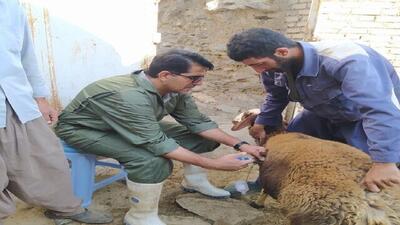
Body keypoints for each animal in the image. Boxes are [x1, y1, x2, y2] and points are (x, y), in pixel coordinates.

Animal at [230, 109, 400, 225]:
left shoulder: (267, 172)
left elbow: (264, 189)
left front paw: (257, 203)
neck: (276, 134)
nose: (234, 121)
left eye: (247, 115)